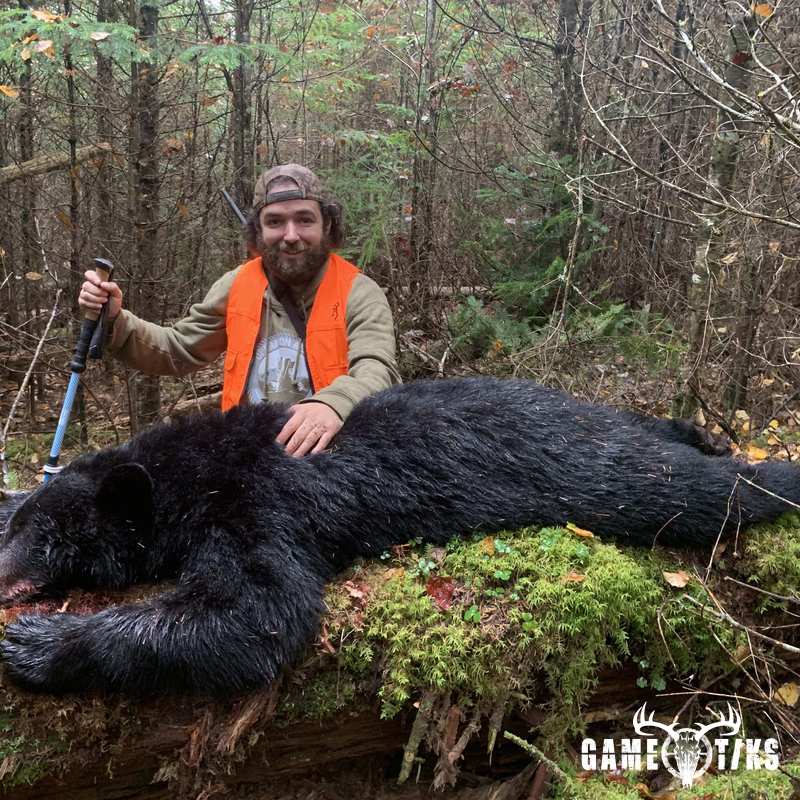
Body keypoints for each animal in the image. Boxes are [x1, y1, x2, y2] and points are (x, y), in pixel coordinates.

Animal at [0, 377, 797, 696]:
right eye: (13, 523)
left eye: (40, 535)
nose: (4, 568)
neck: (188, 472)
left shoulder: (262, 500)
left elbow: (257, 611)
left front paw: (40, 643)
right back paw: (704, 433)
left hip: (597, 471)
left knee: (683, 485)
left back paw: (770, 471)